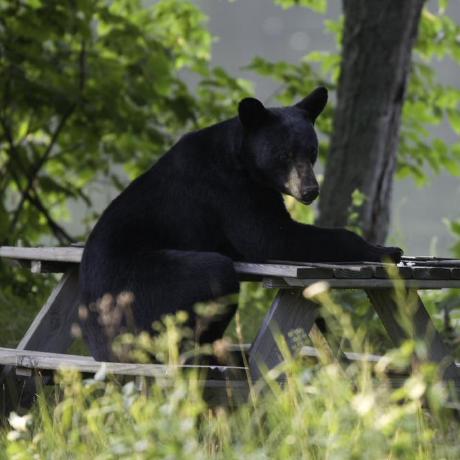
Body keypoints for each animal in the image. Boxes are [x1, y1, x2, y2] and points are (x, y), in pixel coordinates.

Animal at [79, 85, 402, 360]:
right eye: (284, 154)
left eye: (312, 151)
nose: (310, 190)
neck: (240, 157)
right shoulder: (228, 189)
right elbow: (271, 237)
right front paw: (386, 250)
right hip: (143, 287)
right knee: (213, 274)